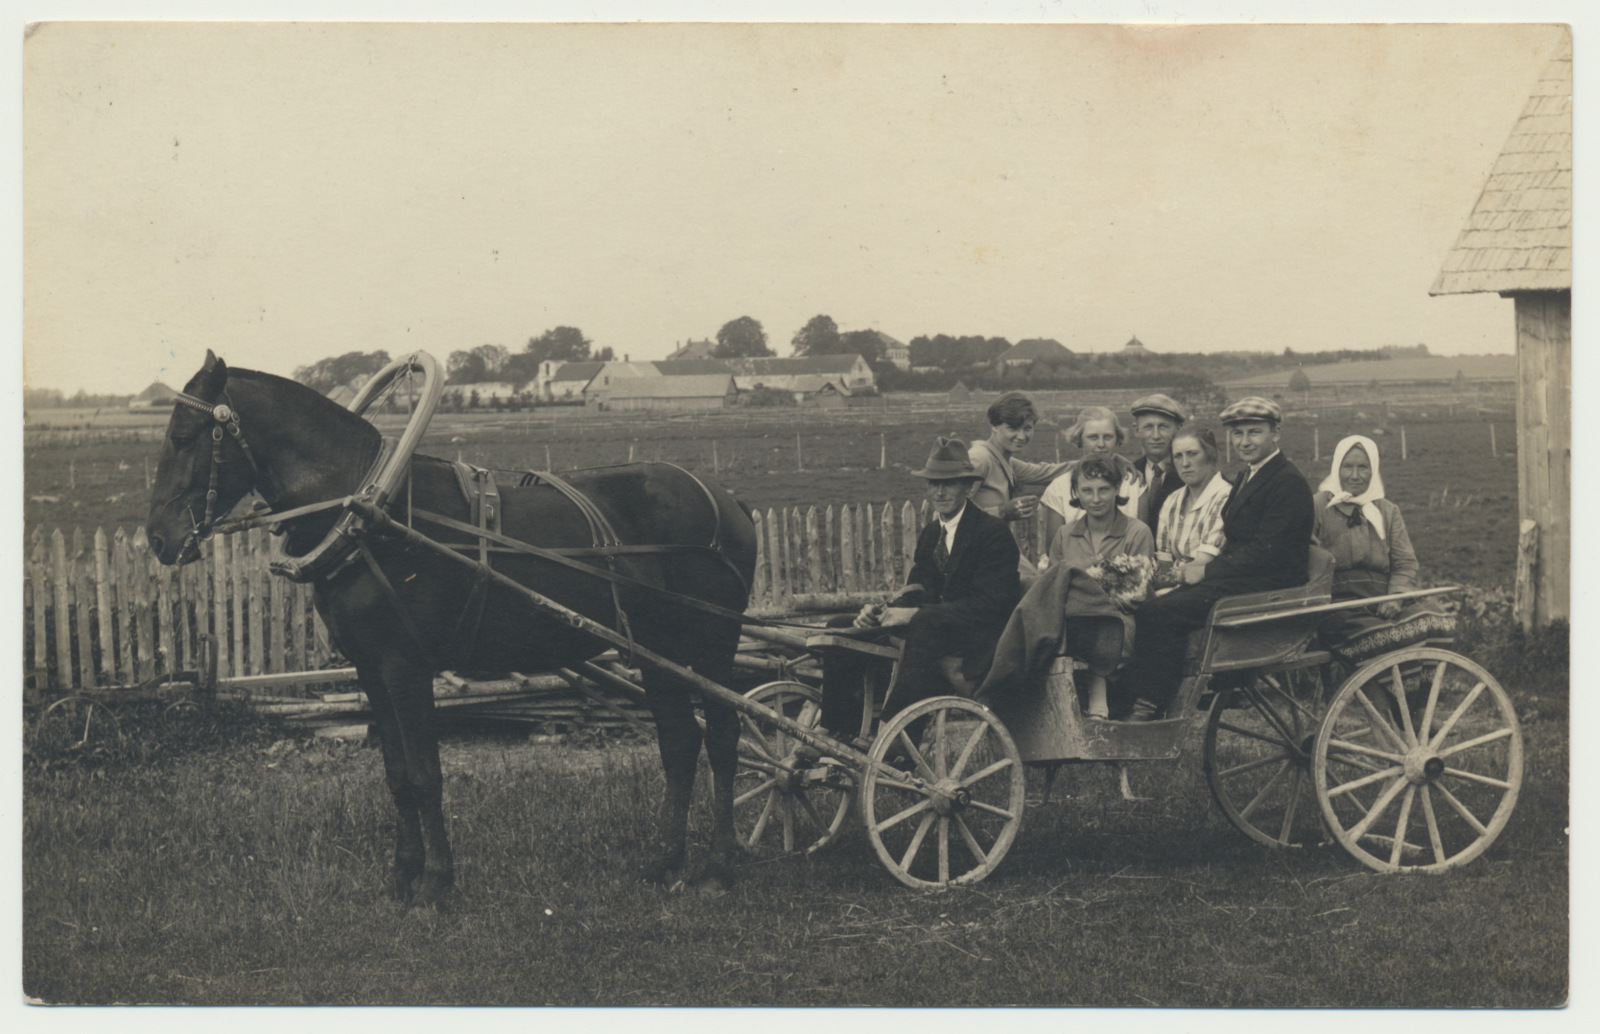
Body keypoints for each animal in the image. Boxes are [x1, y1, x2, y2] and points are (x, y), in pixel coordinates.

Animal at [147, 356, 758, 909]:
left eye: (183, 437)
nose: (157, 538)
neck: (369, 516)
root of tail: (729, 501)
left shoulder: (406, 666)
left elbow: (424, 775)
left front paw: (436, 885)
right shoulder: (371, 670)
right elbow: (396, 776)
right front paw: (401, 877)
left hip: (711, 644)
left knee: (724, 736)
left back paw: (720, 867)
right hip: (655, 650)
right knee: (680, 741)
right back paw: (665, 862)